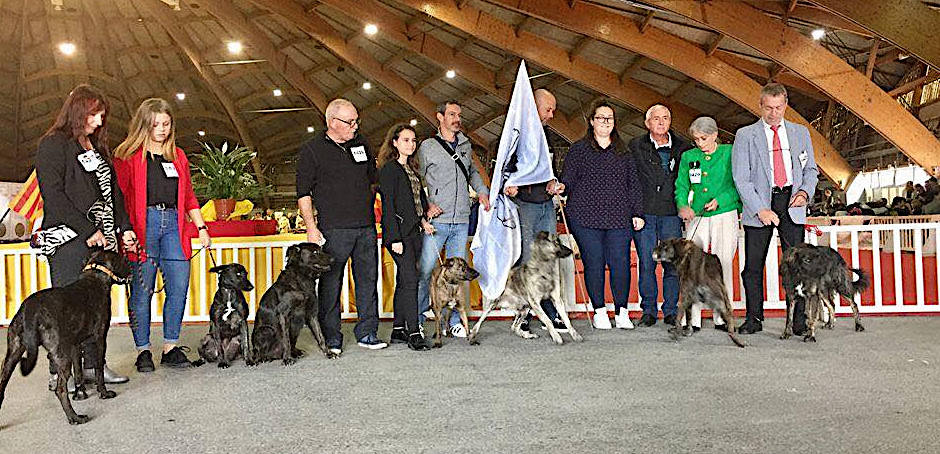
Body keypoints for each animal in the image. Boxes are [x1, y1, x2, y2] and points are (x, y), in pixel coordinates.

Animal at [0, 250, 132, 428]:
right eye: (123, 260)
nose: (131, 266)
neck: (95, 277)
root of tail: (29, 309)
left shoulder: (75, 345)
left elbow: (79, 372)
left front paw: (80, 394)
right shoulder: (99, 339)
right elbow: (98, 369)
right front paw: (103, 393)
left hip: (12, 354)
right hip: (61, 356)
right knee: (60, 390)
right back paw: (75, 417)